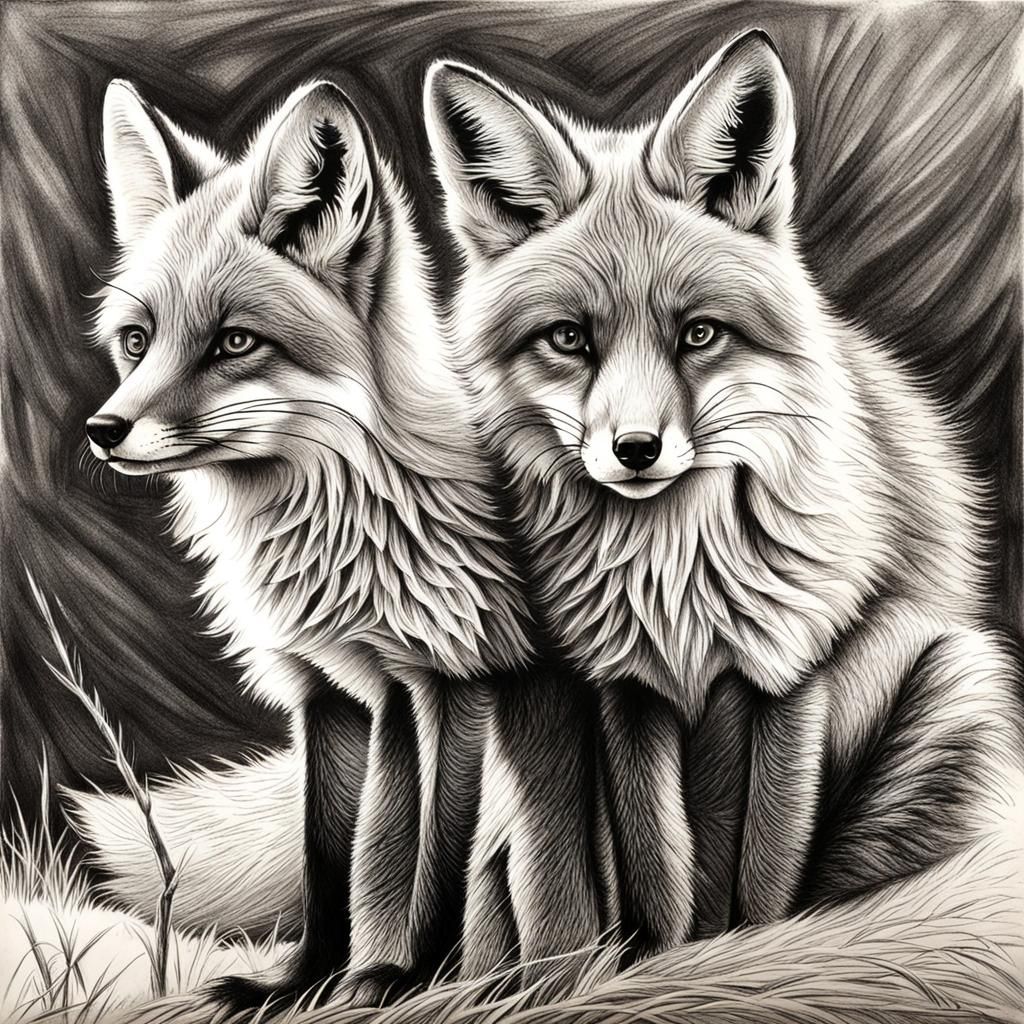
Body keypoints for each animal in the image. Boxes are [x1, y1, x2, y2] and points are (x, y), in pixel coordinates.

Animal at [76, 77, 607, 1011]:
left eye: (234, 342)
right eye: (137, 341)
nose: (104, 432)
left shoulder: (463, 680)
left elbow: (445, 860)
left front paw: (412, 980)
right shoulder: (331, 692)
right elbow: (327, 857)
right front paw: (302, 983)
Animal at [422, 29, 1024, 964]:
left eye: (699, 333)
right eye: (569, 339)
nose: (636, 450)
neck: (678, 583)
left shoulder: (789, 676)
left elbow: (762, 872)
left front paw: (748, 956)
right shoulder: (625, 689)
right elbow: (661, 873)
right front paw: (662, 965)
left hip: (955, 680)